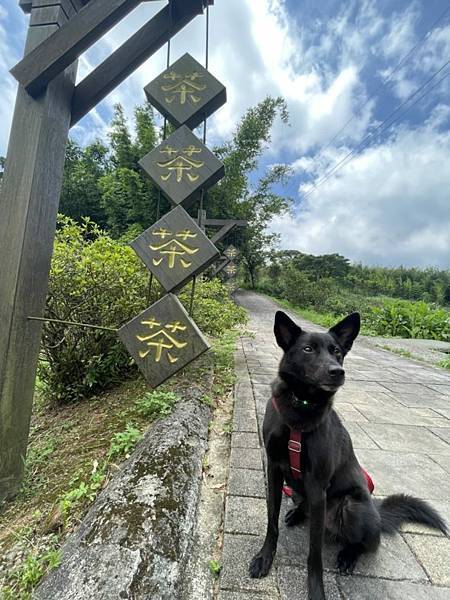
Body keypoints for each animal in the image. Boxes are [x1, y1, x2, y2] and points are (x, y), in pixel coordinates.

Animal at [250, 312, 446, 600]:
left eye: (337, 352)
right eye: (308, 349)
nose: (337, 372)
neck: (301, 407)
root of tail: (378, 513)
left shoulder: (317, 486)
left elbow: (315, 554)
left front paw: (316, 591)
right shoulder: (274, 471)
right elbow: (271, 523)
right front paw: (264, 558)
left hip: (351, 508)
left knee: (366, 543)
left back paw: (348, 556)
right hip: (298, 492)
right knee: (304, 508)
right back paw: (296, 514)